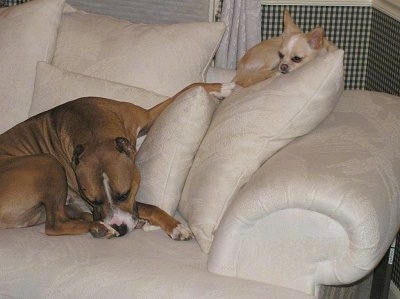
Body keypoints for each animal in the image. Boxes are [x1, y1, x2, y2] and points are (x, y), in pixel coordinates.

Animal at [0, 82, 231, 241]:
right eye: (92, 199)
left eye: (124, 194)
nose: (119, 228)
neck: (91, 128)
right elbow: (149, 206)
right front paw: (175, 225)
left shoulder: (147, 116)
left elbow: (188, 88)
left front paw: (224, 87)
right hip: (46, 162)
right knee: (54, 224)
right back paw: (101, 227)